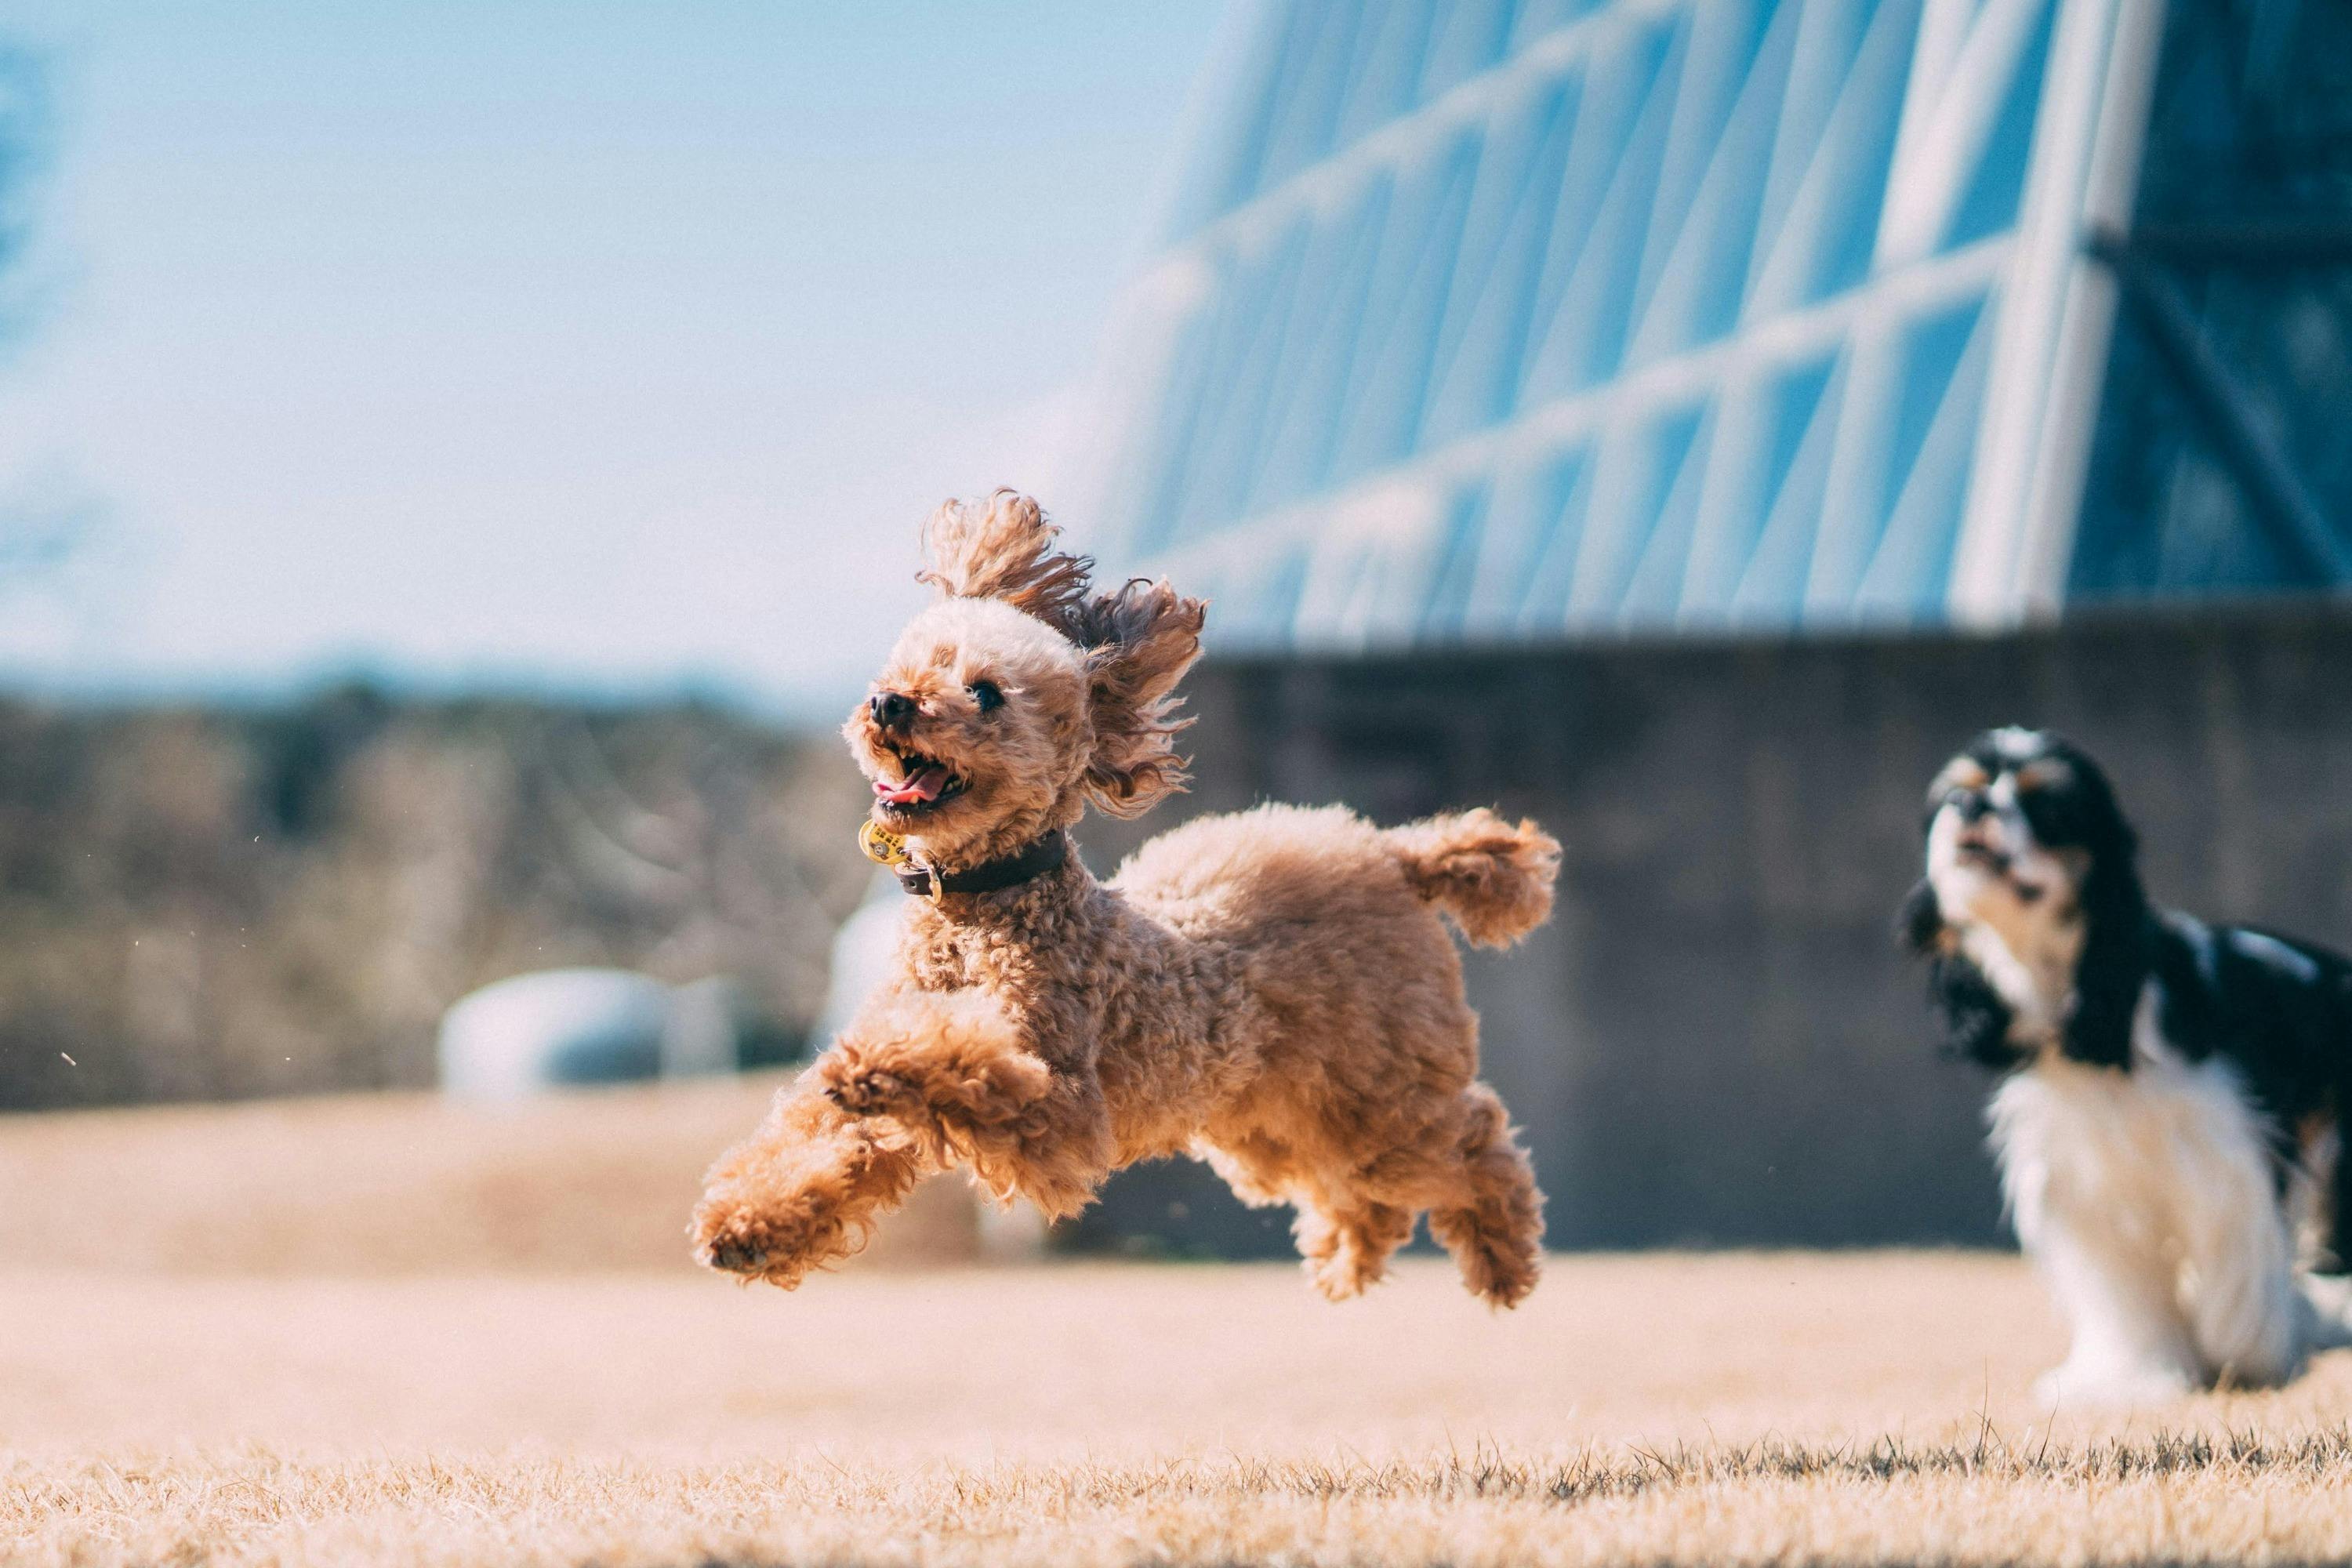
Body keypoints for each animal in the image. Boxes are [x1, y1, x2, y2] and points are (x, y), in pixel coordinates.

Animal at [1900, 728, 2352, 1401]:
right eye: (1958, 791)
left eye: (2047, 804)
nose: (1970, 806)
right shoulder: (2087, 1189)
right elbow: (2127, 1297)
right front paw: (2134, 1378)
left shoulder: (2226, 1160)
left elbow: (2236, 1275)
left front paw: (2252, 1356)